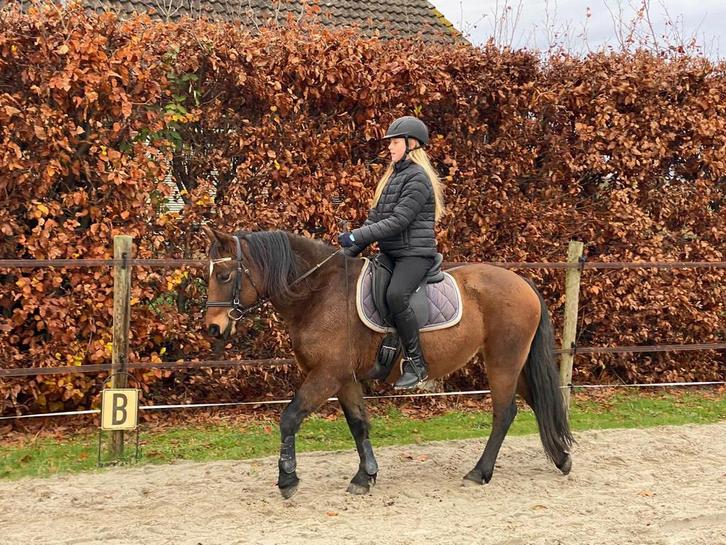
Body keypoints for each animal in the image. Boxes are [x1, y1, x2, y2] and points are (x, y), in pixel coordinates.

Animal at [202, 227, 574, 499]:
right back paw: (562, 459)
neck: (320, 294)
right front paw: (365, 476)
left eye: (224, 275)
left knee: (504, 412)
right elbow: (358, 425)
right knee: (535, 402)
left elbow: (289, 417)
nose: (212, 328)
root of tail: (522, 282)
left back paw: (479, 472)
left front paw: (288, 479)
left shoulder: (326, 375)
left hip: (503, 361)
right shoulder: (345, 378)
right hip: (513, 362)